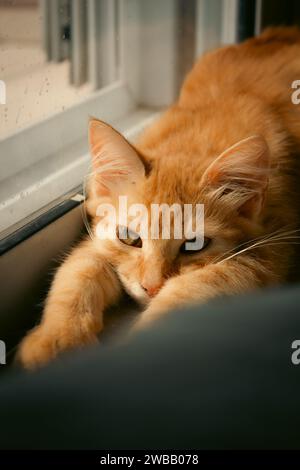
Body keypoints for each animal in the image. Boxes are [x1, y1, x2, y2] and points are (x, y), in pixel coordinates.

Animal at [18, 27, 300, 370]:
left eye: (195, 246)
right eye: (130, 238)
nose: (151, 288)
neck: (194, 138)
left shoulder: (270, 250)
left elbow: (190, 291)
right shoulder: (98, 238)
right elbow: (76, 275)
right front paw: (57, 338)